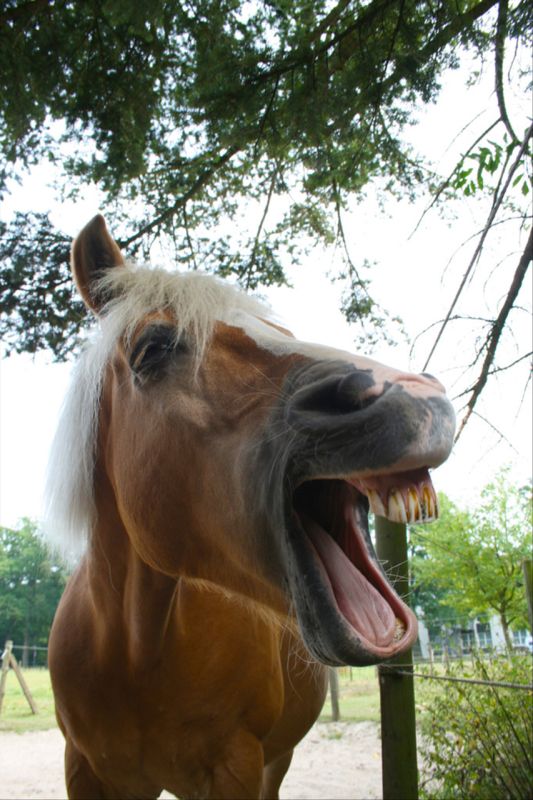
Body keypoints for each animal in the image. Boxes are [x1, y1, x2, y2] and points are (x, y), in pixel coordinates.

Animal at [46, 214, 454, 800]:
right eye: (153, 348)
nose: (414, 394)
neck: (133, 647)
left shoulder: (236, 765)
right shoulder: (84, 769)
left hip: (274, 762)